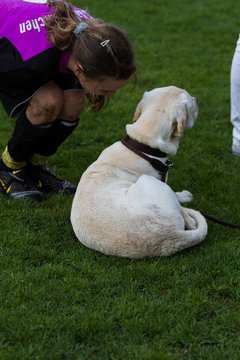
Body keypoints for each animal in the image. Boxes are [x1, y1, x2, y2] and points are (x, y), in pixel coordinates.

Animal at [70, 86, 207, 258]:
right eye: (190, 102)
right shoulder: (161, 180)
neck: (143, 144)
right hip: (148, 181)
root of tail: (171, 235)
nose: (197, 99)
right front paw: (183, 196)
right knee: (190, 220)